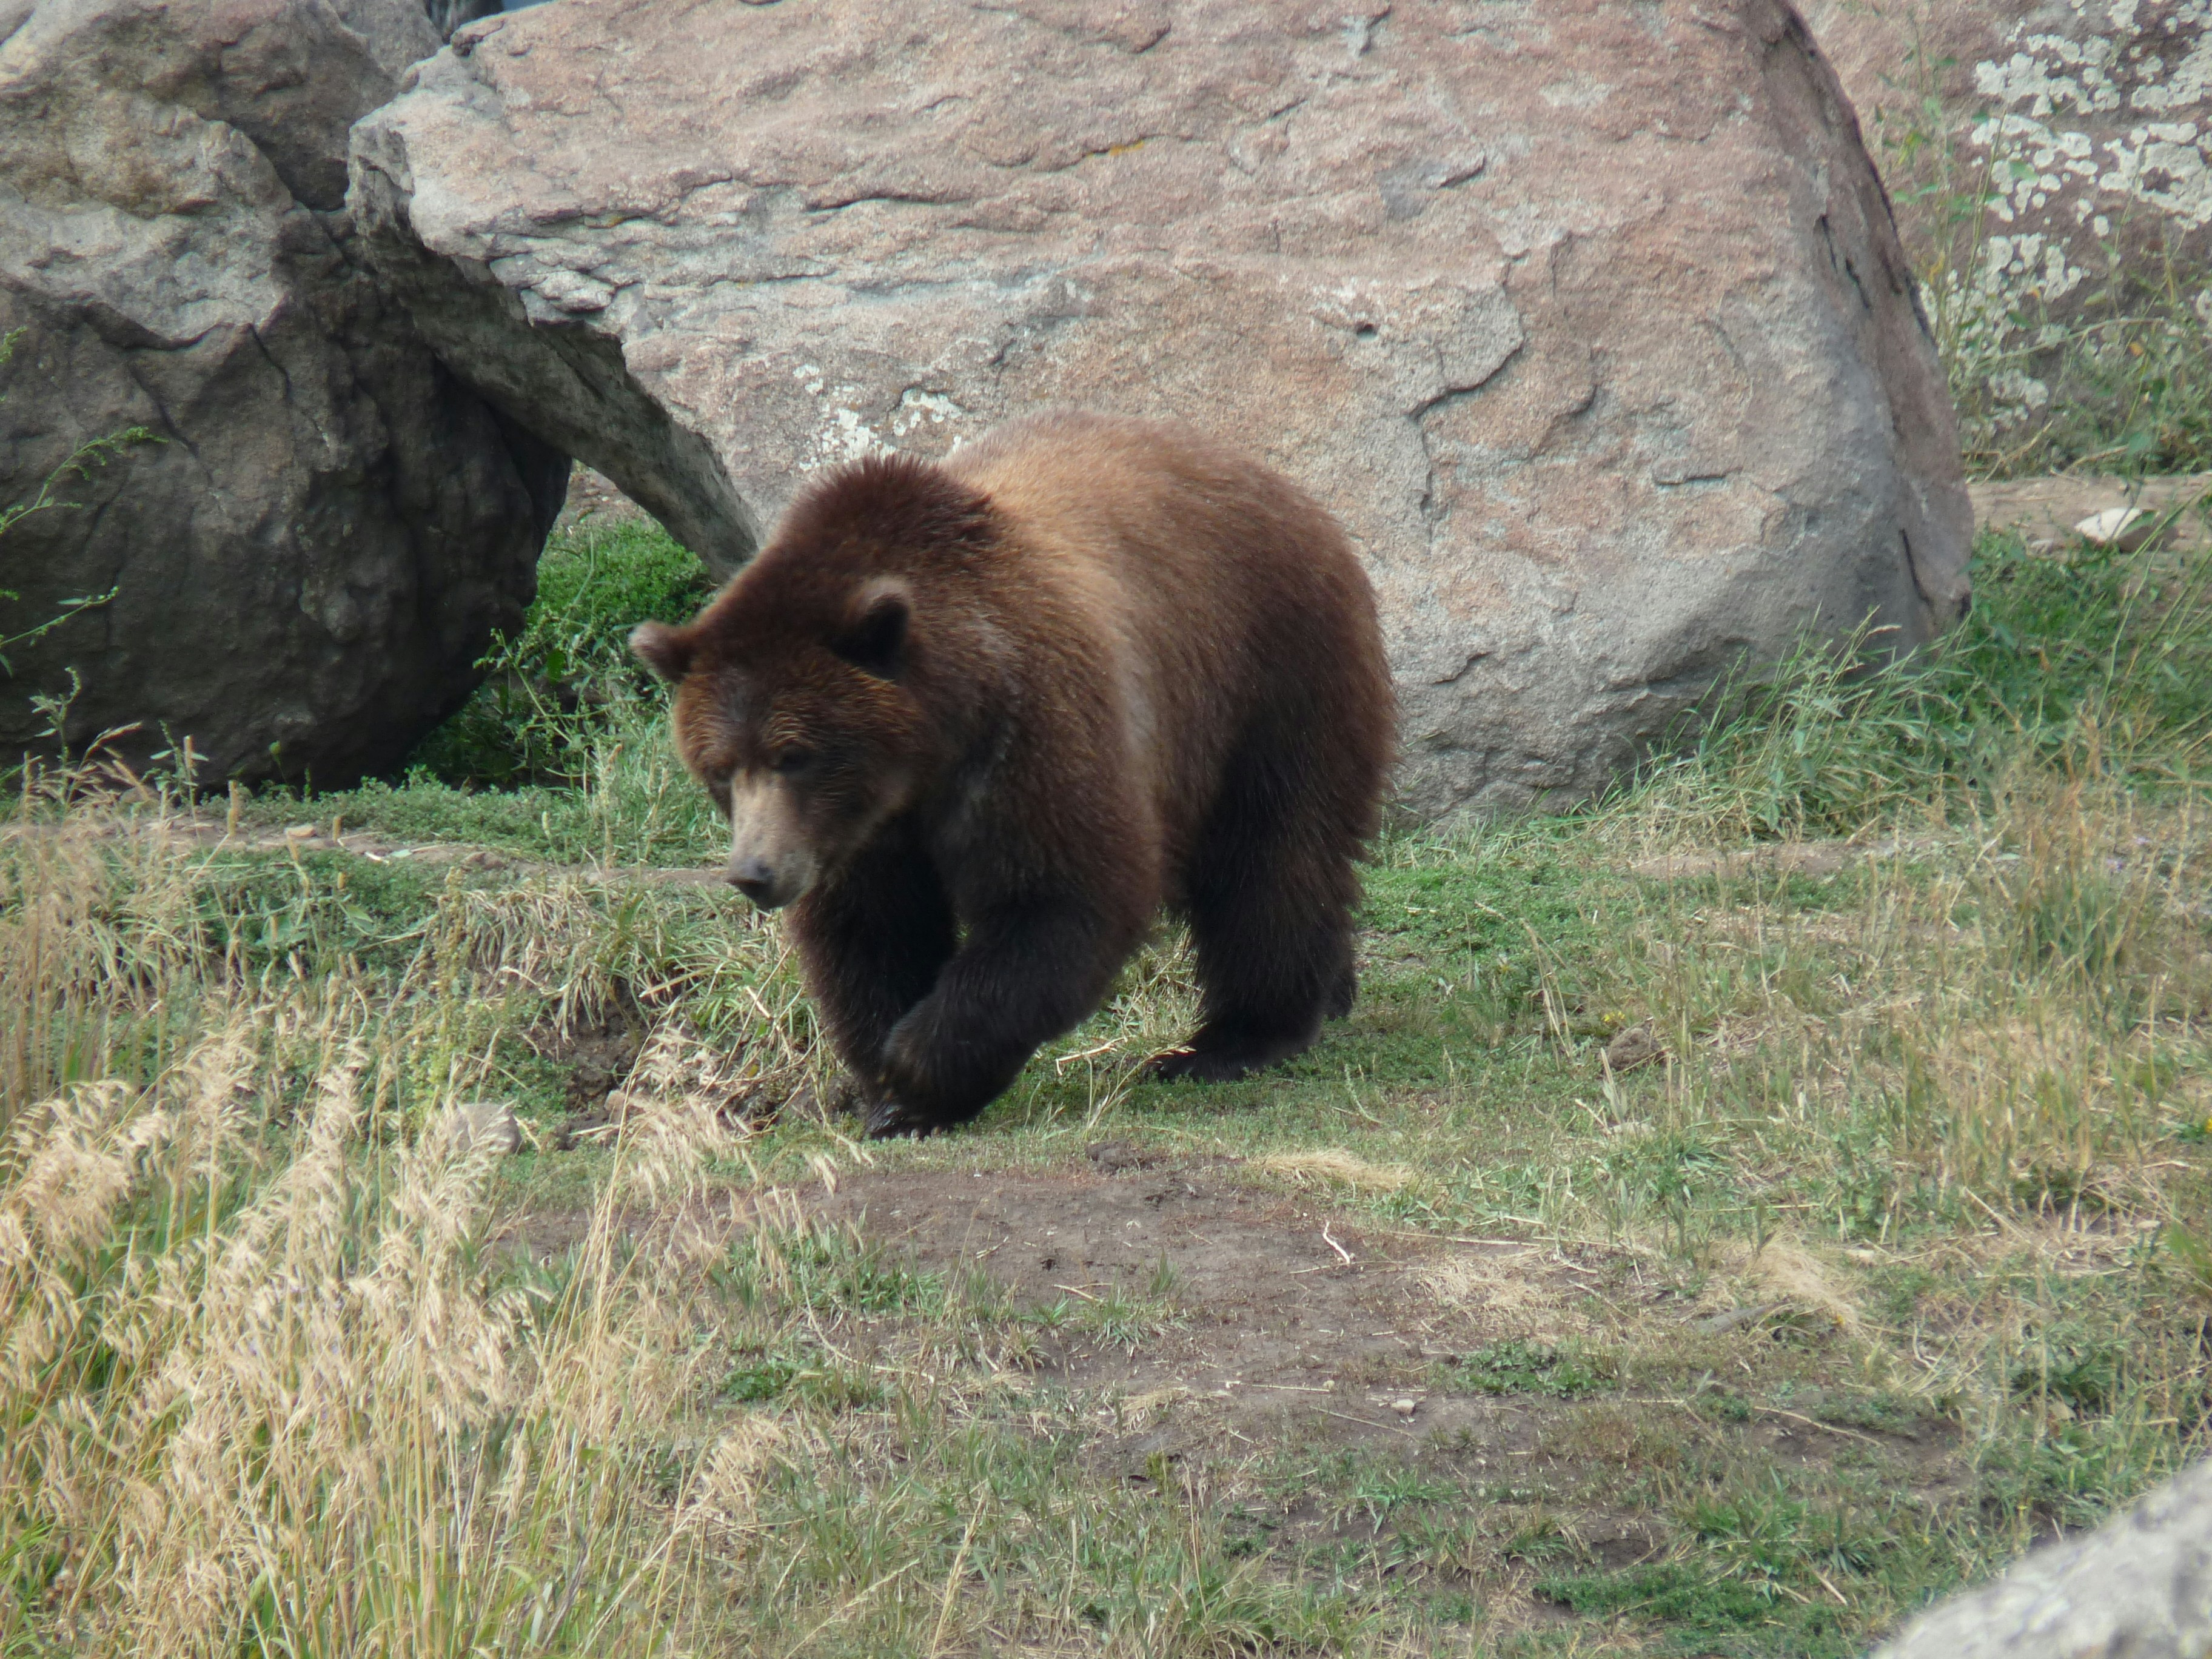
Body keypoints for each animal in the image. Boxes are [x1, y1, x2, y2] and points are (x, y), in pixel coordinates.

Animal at [631, 409, 1394, 1137]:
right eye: (721, 768)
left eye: (795, 755)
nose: (754, 872)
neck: (924, 756)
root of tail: (1290, 491)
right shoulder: (856, 836)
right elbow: (870, 932)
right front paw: (886, 1087)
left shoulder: (1031, 729)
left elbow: (1062, 898)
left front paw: (916, 1072)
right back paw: (1333, 991)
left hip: (1269, 674)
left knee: (1271, 856)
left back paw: (1233, 1039)